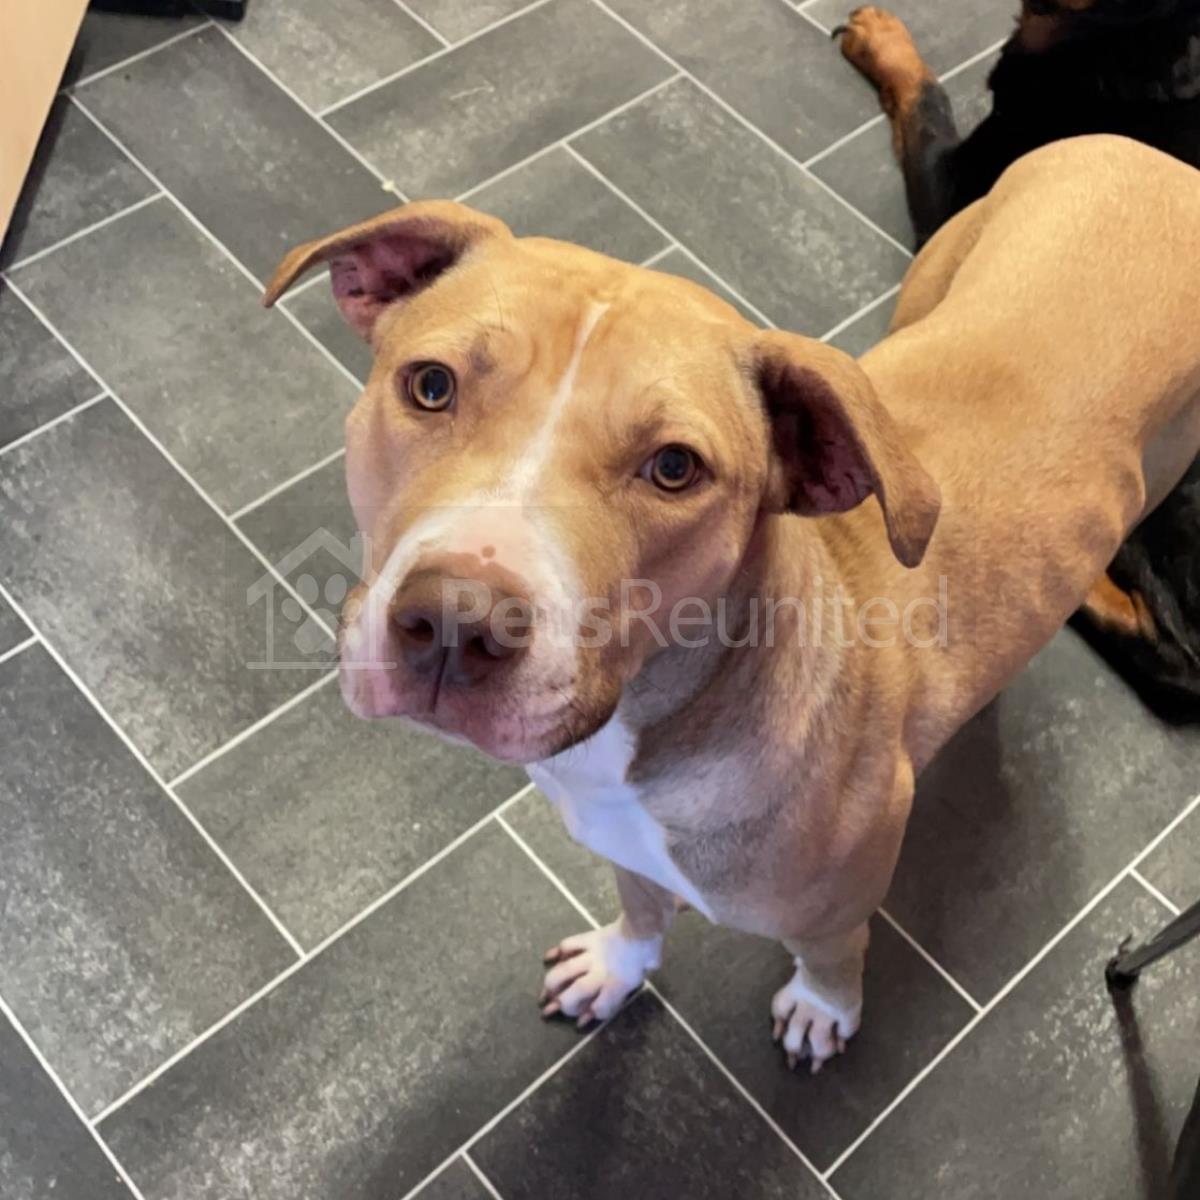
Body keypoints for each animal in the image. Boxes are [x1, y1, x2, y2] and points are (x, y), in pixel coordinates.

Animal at [263, 135, 1200, 1072]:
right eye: (430, 385)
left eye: (675, 468)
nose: (456, 623)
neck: (648, 725)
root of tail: (1151, 155)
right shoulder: (627, 848)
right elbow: (641, 906)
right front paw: (617, 964)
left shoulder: (839, 898)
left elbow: (834, 953)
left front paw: (823, 1009)